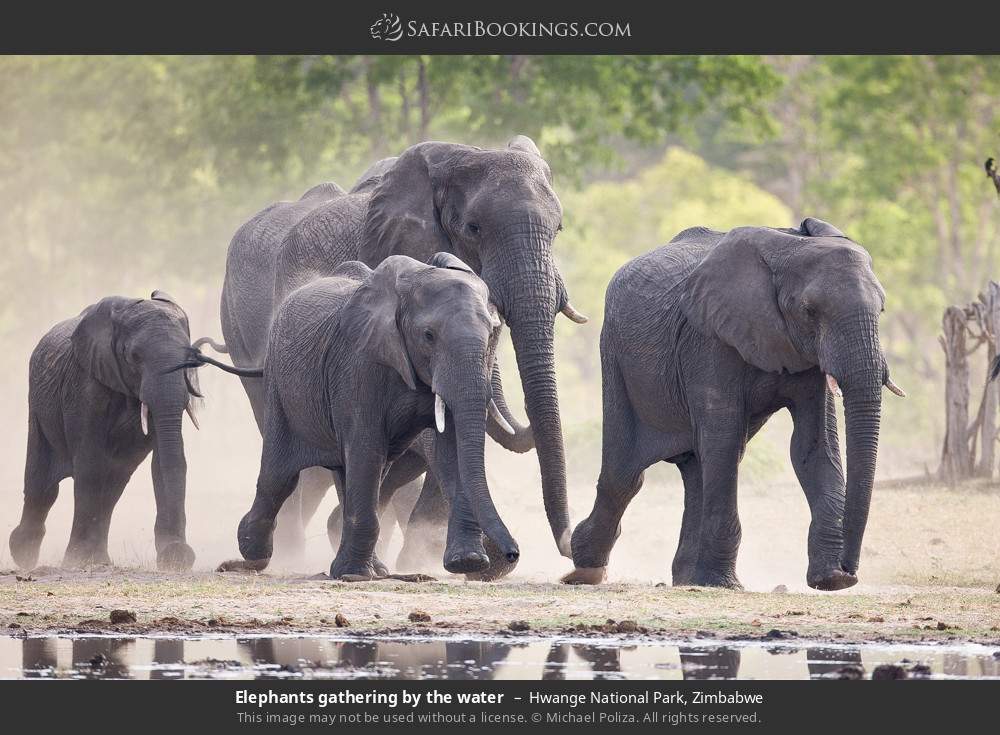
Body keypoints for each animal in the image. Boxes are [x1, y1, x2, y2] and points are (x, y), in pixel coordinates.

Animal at [8, 291, 203, 571]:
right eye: (134, 357)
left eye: (192, 358)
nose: (180, 555)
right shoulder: (84, 386)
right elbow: (90, 462)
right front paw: (77, 560)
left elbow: (163, 462)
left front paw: (175, 558)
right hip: (36, 406)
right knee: (42, 485)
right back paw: (24, 556)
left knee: (113, 486)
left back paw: (99, 560)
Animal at [186, 254, 519, 578]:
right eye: (428, 335)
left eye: (492, 334)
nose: (511, 553)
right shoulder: (358, 366)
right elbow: (367, 447)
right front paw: (355, 575)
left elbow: (450, 452)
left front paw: (469, 562)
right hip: (279, 389)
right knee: (280, 476)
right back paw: (253, 554)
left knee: (351, 474)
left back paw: (375, 568)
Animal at [563, 218, 905, 591]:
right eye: (810, 311)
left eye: (882, 309)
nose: (849, 568)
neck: (789, 249)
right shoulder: (708, 337)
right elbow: (723, 436)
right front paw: (724, 583)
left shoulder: (809, 358)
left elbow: (813, 444)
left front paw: (830, 581)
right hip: (614, 356)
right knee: (625, 473)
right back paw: (585, 568)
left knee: (697, 469)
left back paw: (687, 578)